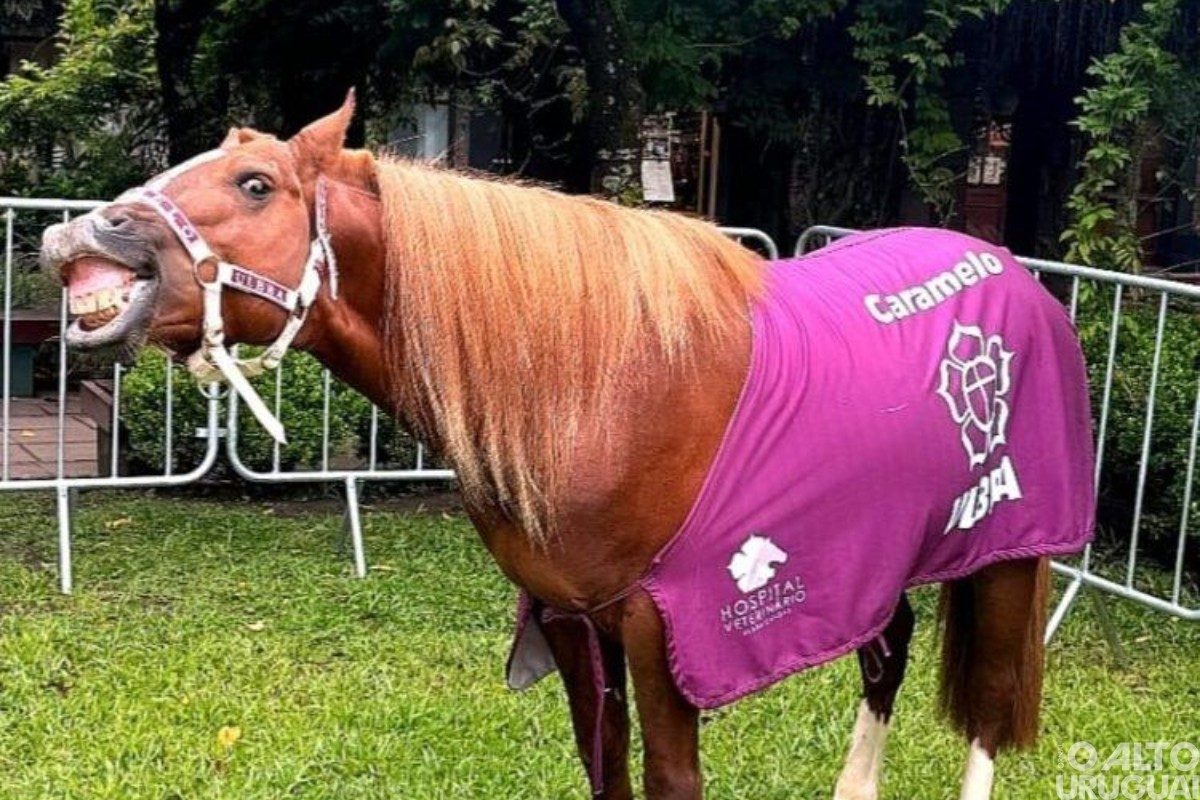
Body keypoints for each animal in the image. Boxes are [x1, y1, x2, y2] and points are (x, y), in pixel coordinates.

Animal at [40, 92, 1095, 800]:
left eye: (255, 185)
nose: (76, 237)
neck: (597, 385)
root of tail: (1012, 271)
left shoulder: (668, 636)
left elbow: (669, 781)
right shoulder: (574, 622)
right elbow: (606, 772)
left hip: (1008, 548)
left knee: (988, 707)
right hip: (873, 560)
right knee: (888, 654)